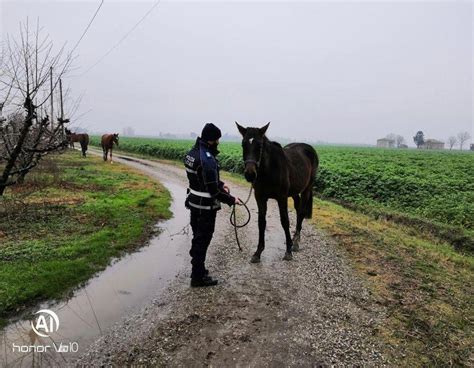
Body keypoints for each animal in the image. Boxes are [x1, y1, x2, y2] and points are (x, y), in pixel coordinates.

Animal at [236, 122, 318, 264]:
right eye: (243, 144)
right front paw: (258, 252)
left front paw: (288, 251)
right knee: (298, 209)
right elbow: (261, 222)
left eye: (260, 145)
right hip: (294, 192)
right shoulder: (260, 198)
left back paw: (296, 242)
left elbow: (285, 221)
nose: (250, 174)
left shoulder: (282, 197)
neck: (269, 170)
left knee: (301, 212)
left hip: (307, 188)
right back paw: (295, 238)